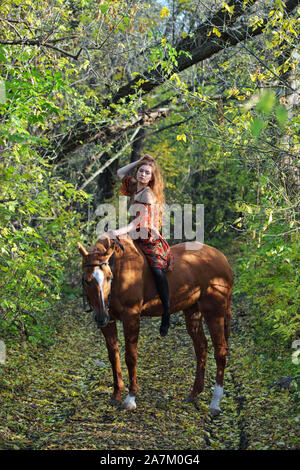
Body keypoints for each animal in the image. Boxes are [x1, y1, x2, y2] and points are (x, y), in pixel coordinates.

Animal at [78, 237, 233, 414]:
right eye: (87, 280)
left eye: (109, 278)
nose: (101, 317)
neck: (119, 268)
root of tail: (221, 258)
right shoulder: (108, 322)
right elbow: (113, 356)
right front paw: (116, 395)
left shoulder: (131, 317)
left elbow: (130, 356)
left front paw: (131, 398)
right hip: (192, 311)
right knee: (201, 347)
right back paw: (194, 393)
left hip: (214, 312)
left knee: (220, 351)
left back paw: (215, 402)